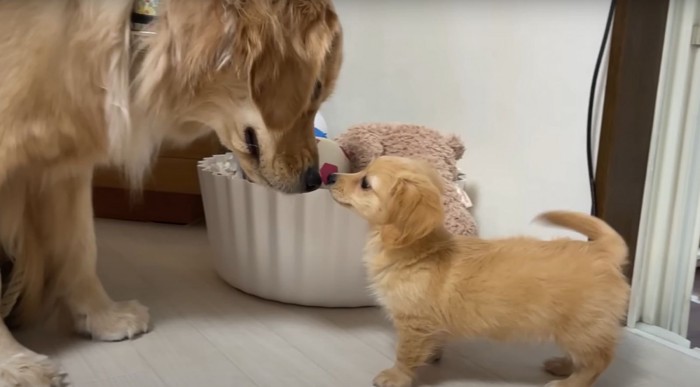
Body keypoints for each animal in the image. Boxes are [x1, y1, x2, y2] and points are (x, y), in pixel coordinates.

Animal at [0, 0, 342, 384]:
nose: (314, 180)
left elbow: (80, 248)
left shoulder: (63, 164)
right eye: (314, 87)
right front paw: (13, 362)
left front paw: (103, 316)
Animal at [326, 157, 628, 387]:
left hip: (581, 327)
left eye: (366, 183)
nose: (330, 176)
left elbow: (405, 354)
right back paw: (563, 365)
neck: (419, 250)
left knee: (599, 360)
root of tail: (602, 250)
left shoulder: (414, 324)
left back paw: (569, 383)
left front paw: (395, 377)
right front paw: (432, 355)